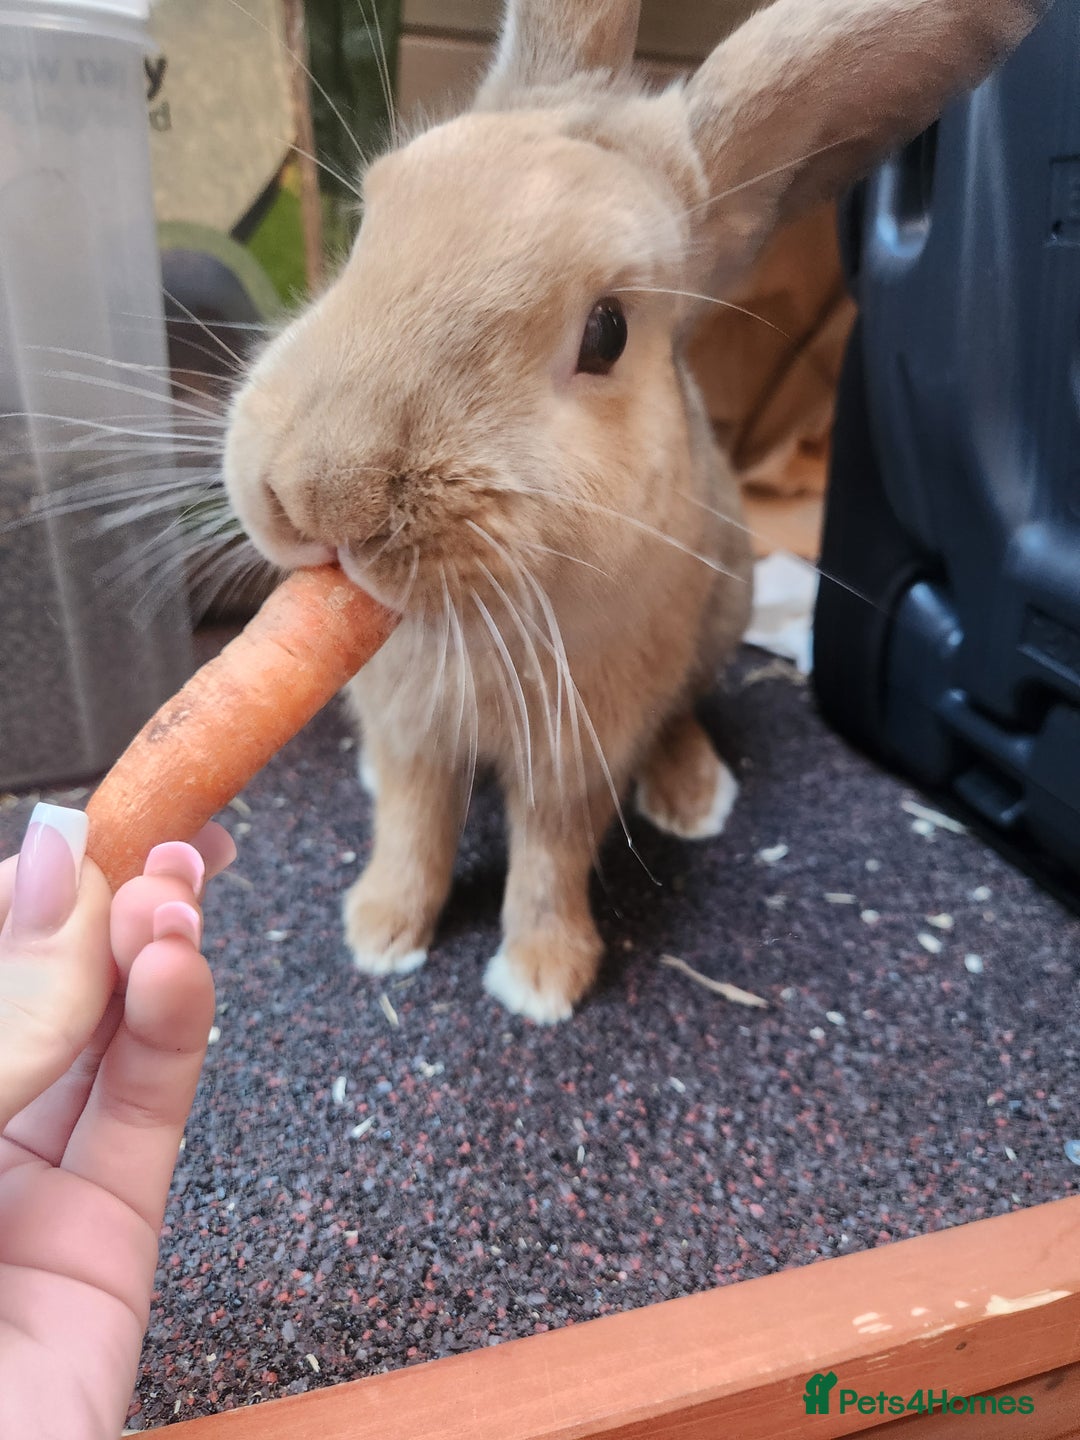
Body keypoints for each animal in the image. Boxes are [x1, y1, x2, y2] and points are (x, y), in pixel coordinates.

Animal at [223, 0, 1051, 1023]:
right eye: (371, 222)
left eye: (608, 333)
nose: (318, 492)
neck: (479, 623)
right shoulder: (414, 729)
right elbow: (413, 823)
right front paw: (380, 931)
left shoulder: (578, 749)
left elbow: (551, 852)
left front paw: (542, 979)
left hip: (721, 613)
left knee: (685, 710)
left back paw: (691, 794)